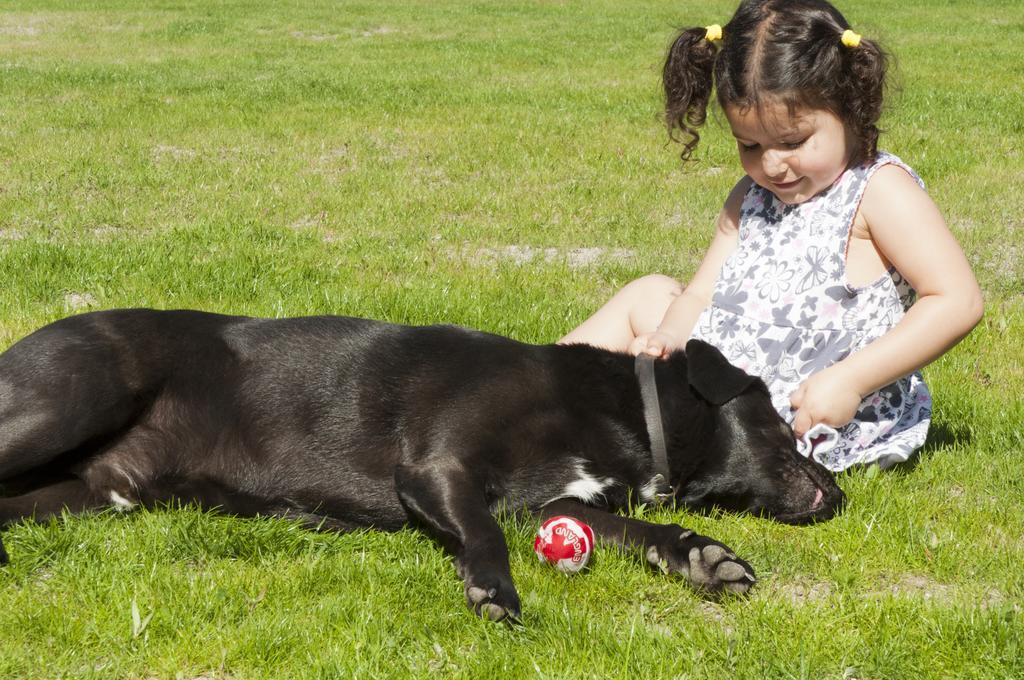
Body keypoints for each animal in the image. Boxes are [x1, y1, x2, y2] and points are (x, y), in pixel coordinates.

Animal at [0, 307, 839, 622]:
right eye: (783, 425)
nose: (840, 495)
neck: (615, 410)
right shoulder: (437, 468)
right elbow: (483, 535)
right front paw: (492, 588)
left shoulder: (554, 505)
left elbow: (640, 531)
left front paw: (700, 556)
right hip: (73, 397)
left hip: (84, 495)